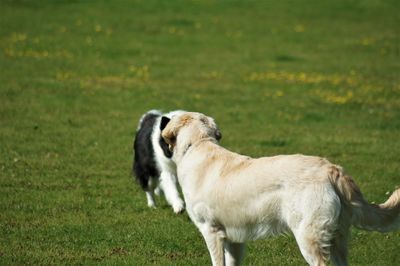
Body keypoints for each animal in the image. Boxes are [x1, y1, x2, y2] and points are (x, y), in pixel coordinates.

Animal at [161, 111, 400, 266]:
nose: (162, 119)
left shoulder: (211, 231)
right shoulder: (234, 238)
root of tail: (331, 169)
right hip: (337, 238)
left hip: (309, 235)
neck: (198, 145)